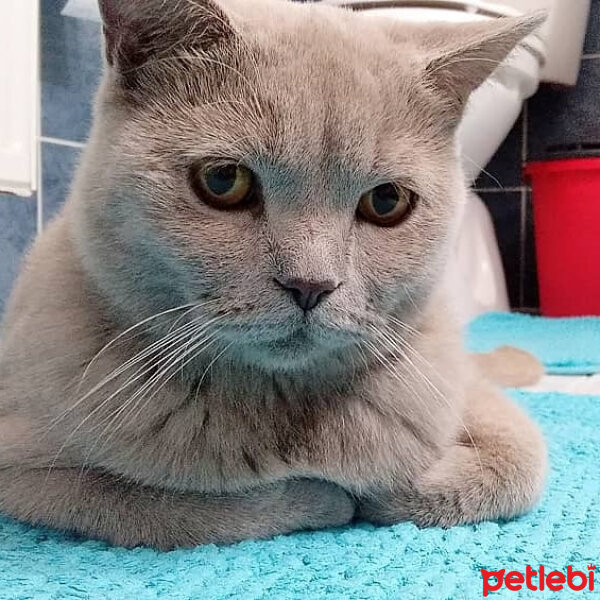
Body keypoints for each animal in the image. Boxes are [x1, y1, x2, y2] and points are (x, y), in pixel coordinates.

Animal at [0, 0, 548, 548]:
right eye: (224, 180)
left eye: (387, 201)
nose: (310, 285)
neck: (286, 407)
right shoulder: (24, 465)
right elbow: (172, 508)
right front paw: (330, 498)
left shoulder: (460, 393)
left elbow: (517, 464)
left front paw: (388, 491)